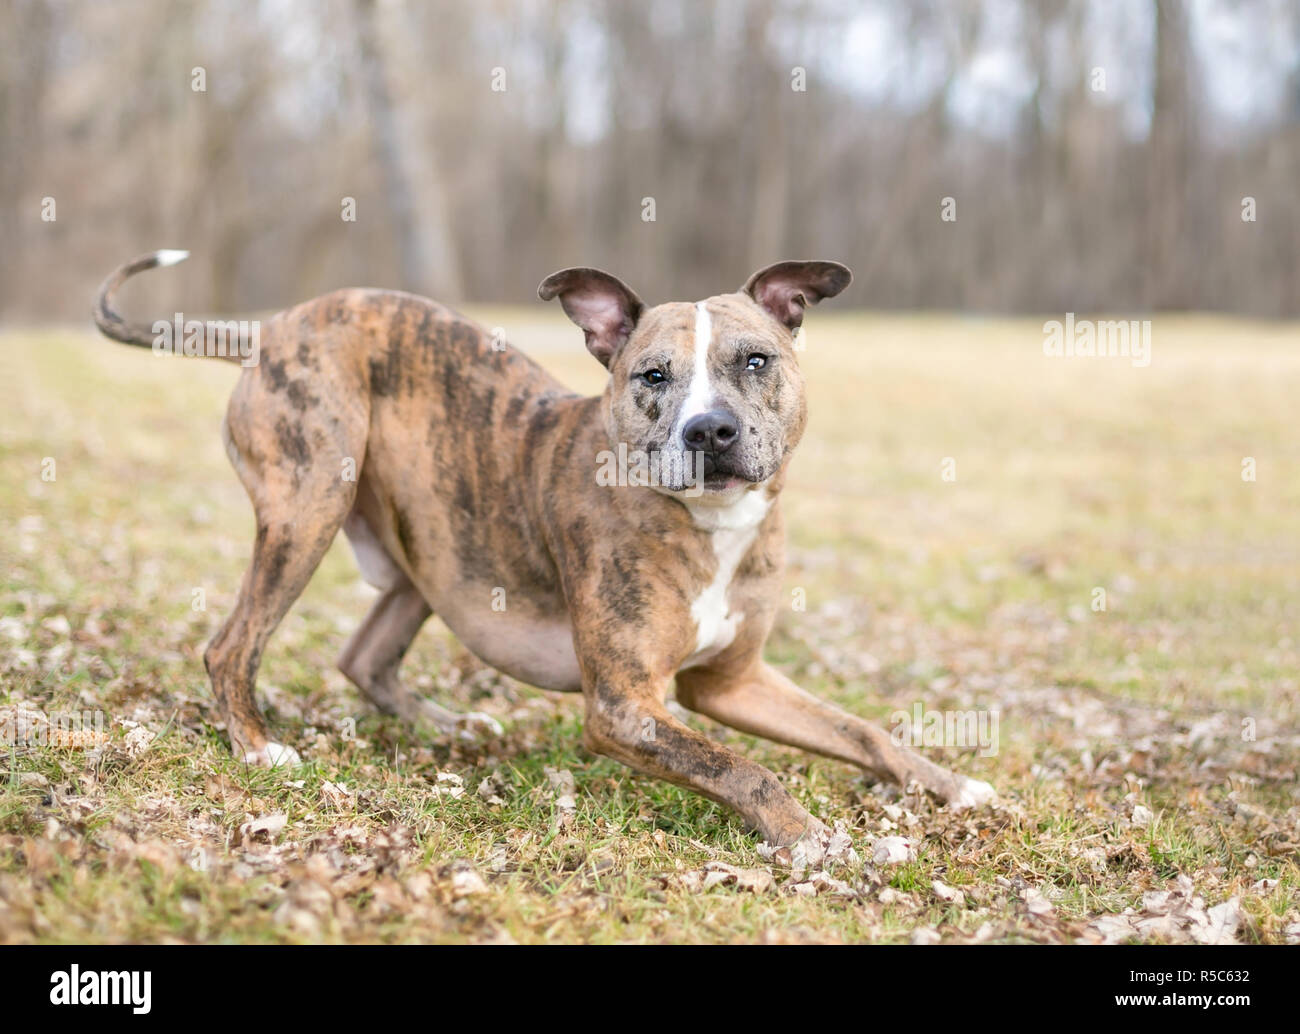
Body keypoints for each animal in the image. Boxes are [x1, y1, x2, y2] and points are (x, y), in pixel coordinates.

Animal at [96, 254, 993, 853]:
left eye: (755, 361)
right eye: (653, 376)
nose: (710, 431)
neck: (707, 523)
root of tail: (276, 325)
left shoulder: (732, 683)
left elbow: (863, 733)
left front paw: (956, 786)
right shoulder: (626, 708)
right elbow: (743, 768)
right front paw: (818, 839)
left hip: (435, 545)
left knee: (364, 654)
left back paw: (449, 721)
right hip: (309, 504)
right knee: (231, 644)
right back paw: (259, 745)